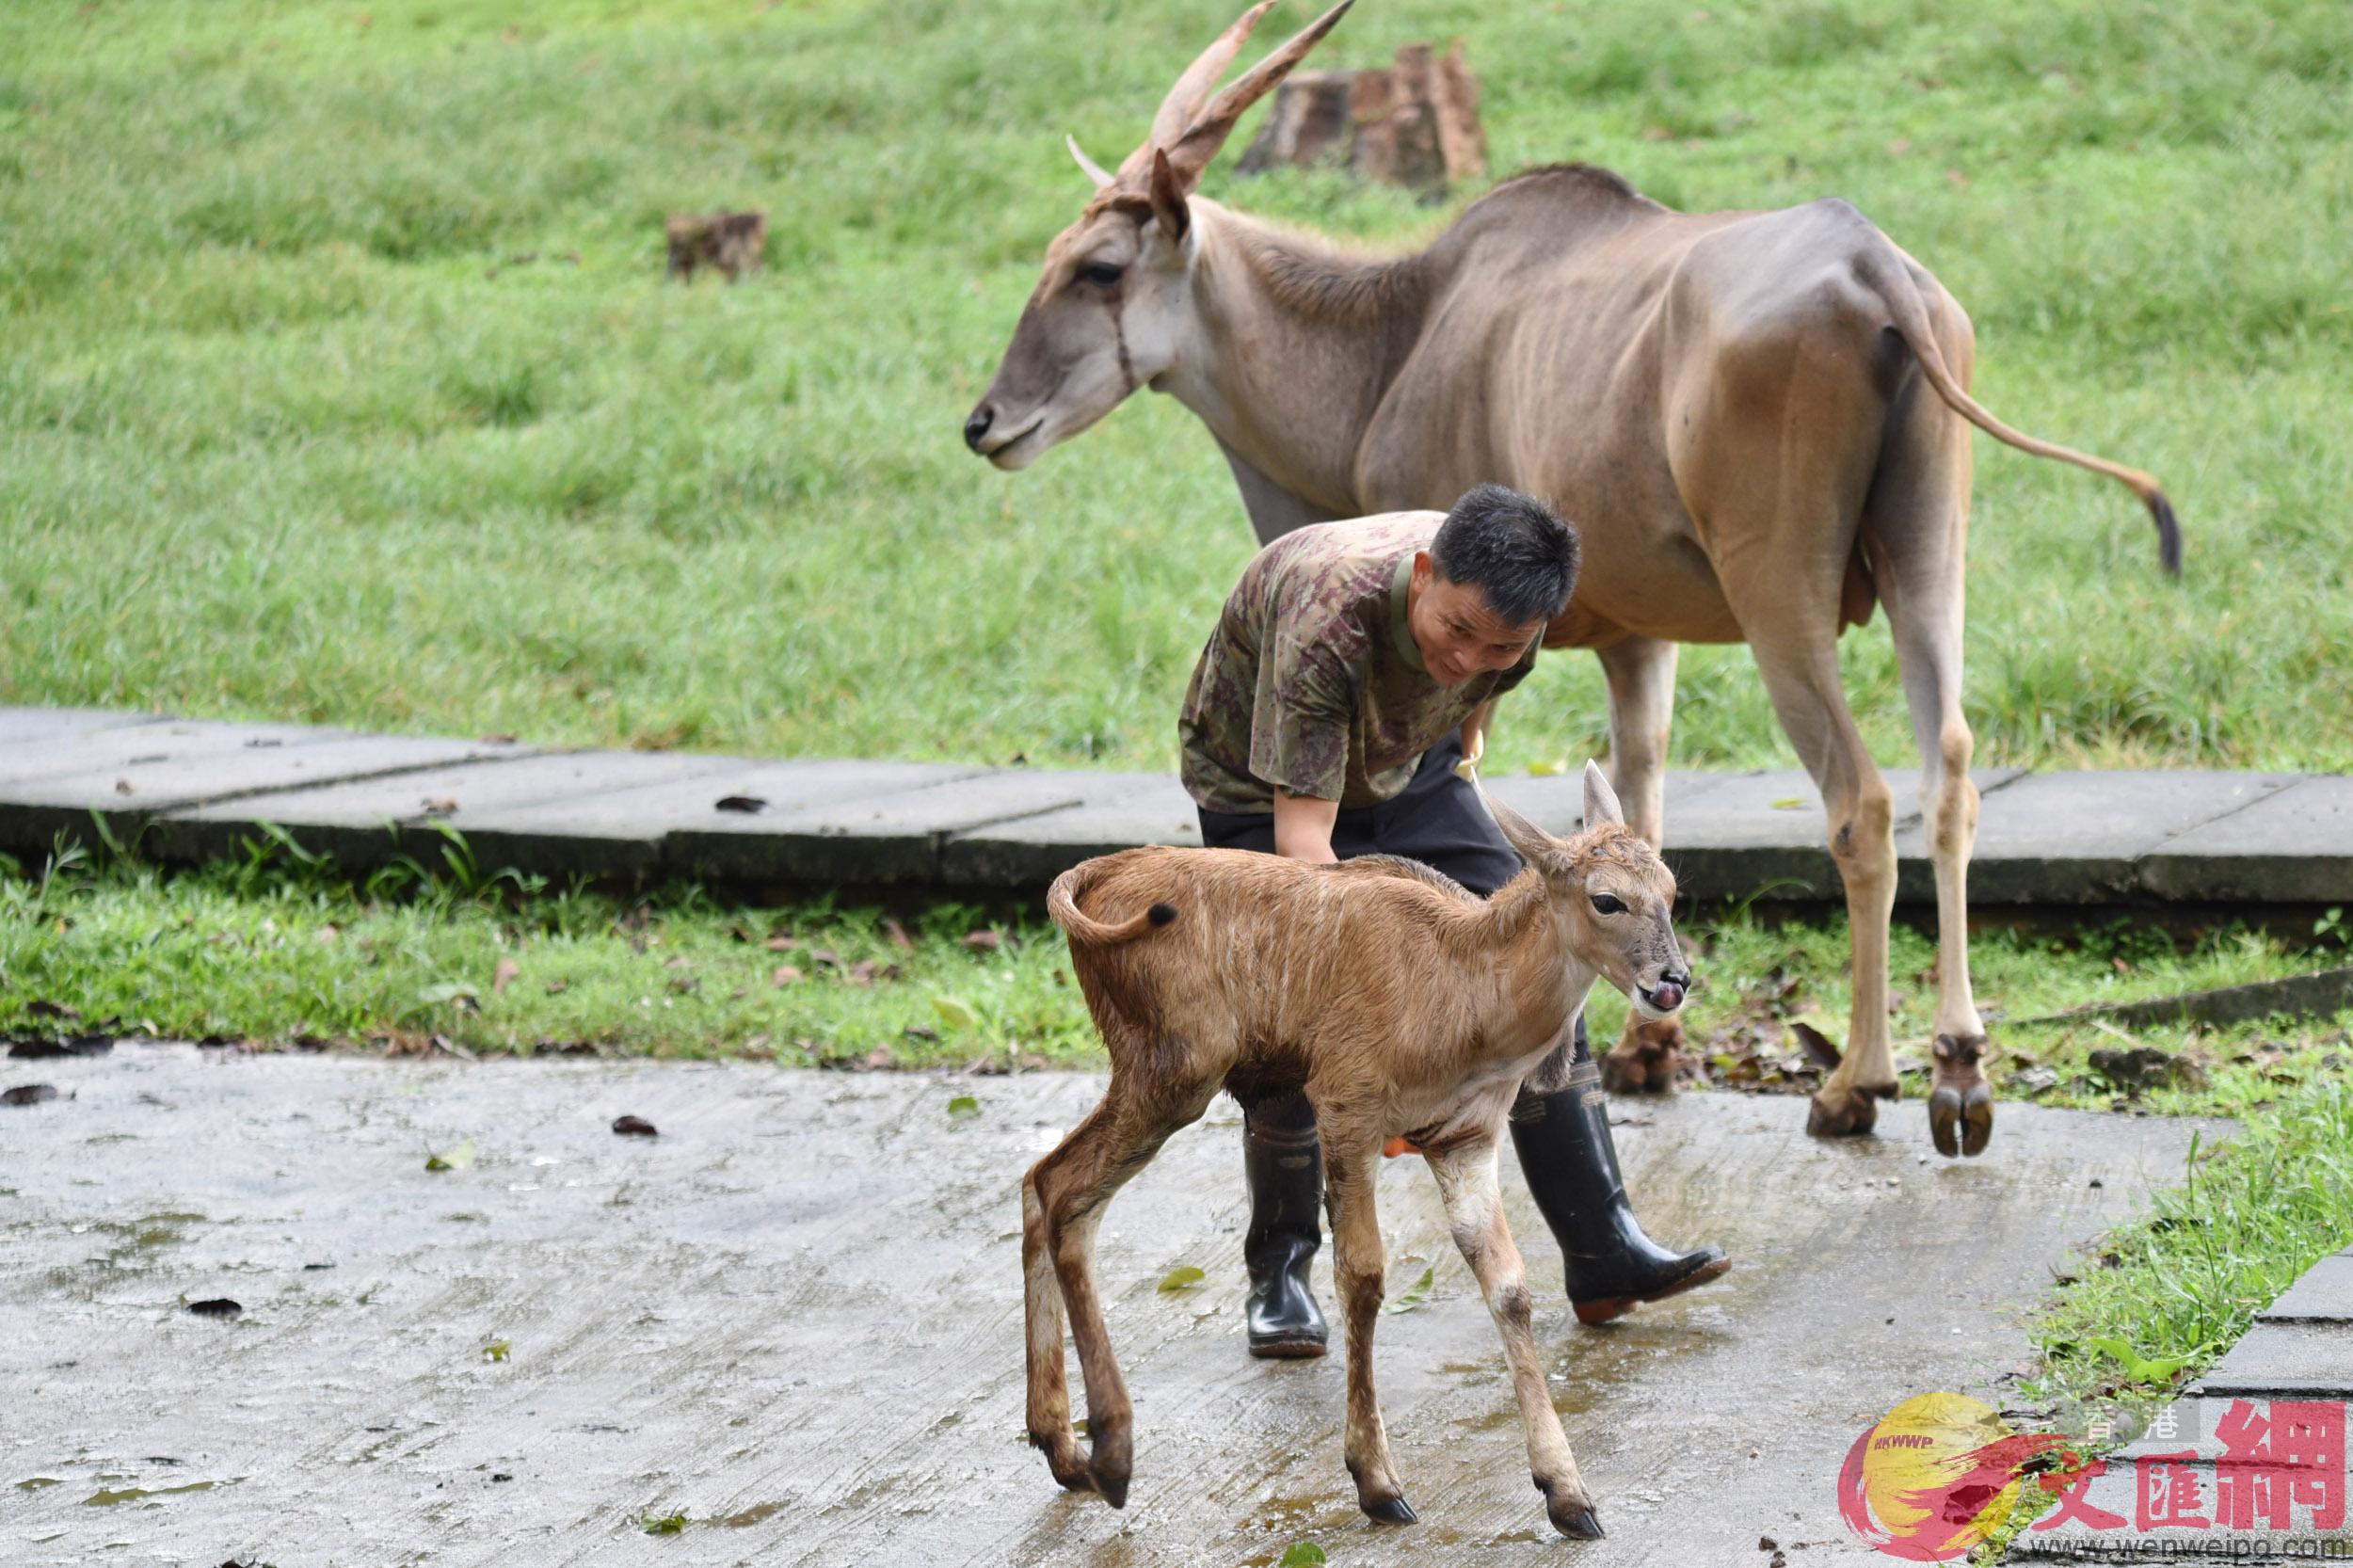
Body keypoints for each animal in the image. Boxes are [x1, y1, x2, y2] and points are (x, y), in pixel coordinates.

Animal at [965, 0, 2174, 1148]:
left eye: (1098, 268)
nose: (985, 422)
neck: (1396, 338)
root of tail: (1881, 273)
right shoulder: (1637, 640)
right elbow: (1638, 796)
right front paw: (1647, 1044)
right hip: (1931, 560)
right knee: (1951, 770)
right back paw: (1960, 1070)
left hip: (1779, 594)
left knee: (1862, 800)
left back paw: (1855, 1083)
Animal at [1021, 762, 1685, 1534]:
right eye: (1607, 899)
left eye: (1671, 890)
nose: (1674, 982)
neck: (1461, 994)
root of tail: (1091, 876)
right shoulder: (1346, 1107)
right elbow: (1363, 1277)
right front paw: (1378, 1482)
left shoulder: (1465, 1137)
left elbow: (1510, 1286)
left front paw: (1569, 1494)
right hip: (1172, 1073)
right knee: (1065, 1190)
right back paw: (1112, 1455)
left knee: (1044, 1184)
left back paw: (1061, 1447)